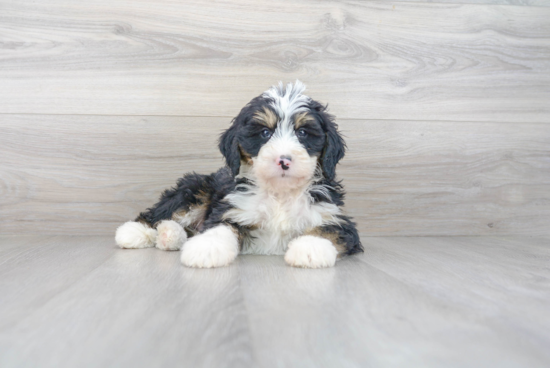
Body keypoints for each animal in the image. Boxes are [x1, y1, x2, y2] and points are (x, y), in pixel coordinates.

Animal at [116, 80, 364, 268]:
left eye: (302, 133)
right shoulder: (231, 209)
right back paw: (136, 232)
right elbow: (220, 229)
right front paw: (206, 248)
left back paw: (169, 236)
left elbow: (326, 230)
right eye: (264, 133)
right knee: (160, 213)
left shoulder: (335, 217)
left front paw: (310, 249)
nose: (283, 160)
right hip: (195, 188)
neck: (280, 194)